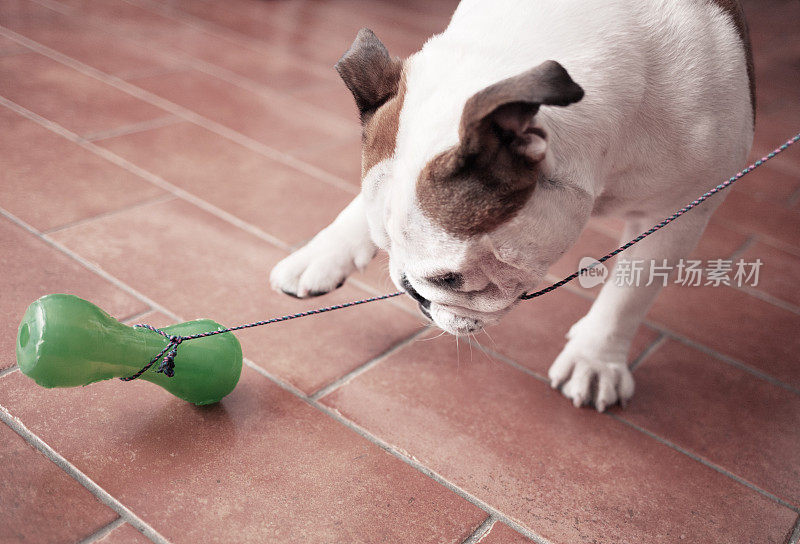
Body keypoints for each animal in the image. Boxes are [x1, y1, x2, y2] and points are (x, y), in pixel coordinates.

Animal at [272, 0, 752, 408]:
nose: (412, 293)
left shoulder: (679, 210)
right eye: (384, 248)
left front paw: (595, 359)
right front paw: (322, 252)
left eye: (449, 279)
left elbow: (632, 289)